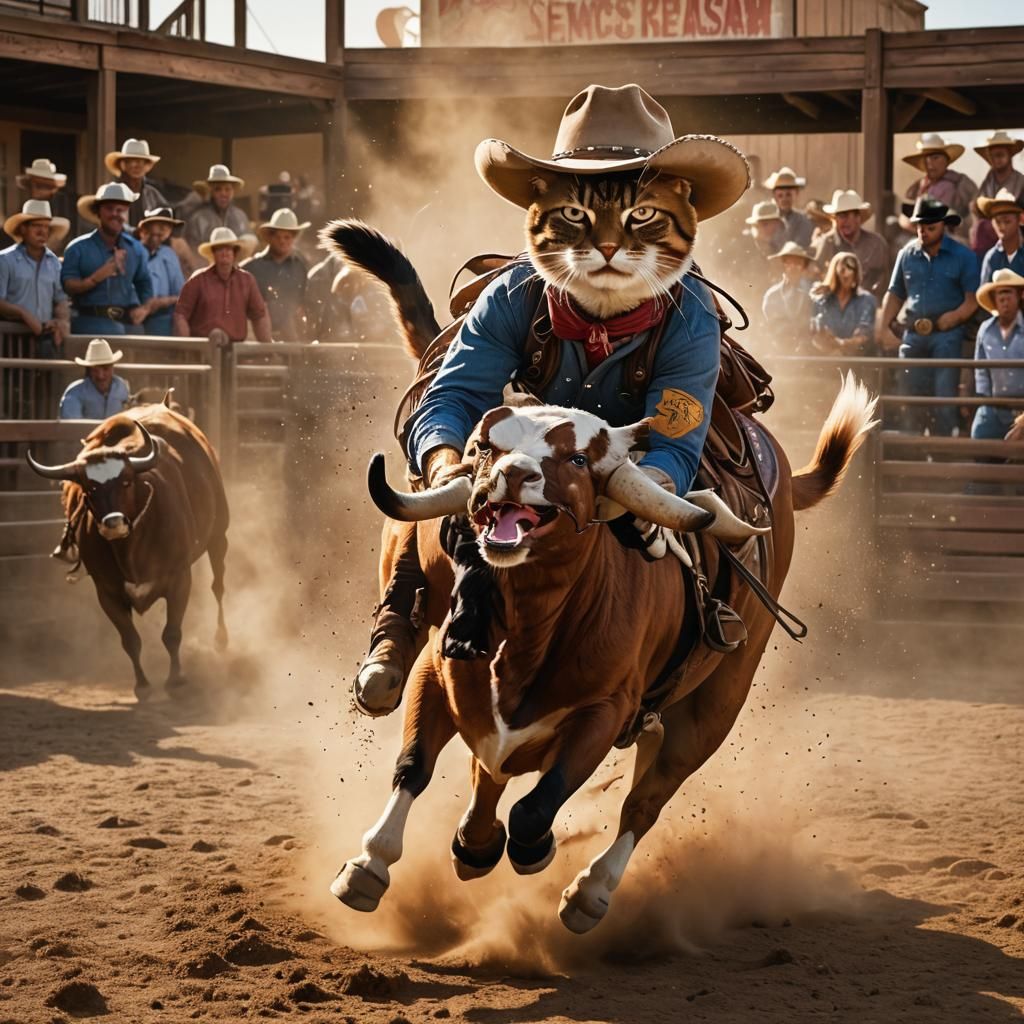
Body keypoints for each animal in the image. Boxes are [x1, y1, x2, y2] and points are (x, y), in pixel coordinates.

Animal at [27, 396, 229, 697]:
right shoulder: (107, 591)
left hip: (219, 536)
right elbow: (130, 640)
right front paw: (143, 685)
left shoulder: (179, 578)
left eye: (126, 482)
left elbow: (172, 633)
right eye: (89, 489)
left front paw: (176, 679)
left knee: (218, 586)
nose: (114, 523)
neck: (132, 548)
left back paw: (221, 639)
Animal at [329, 377, 877, 934]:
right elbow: (418, 765)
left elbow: (536, 806)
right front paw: (373, 864)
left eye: (576, 459)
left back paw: (589, 892)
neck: (531, 630)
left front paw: (536, 850)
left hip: (716, 705)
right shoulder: (439, 675)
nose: (513, 475)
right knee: (495, 772)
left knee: (645, 801)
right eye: (484, 448)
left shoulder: (604, 711)